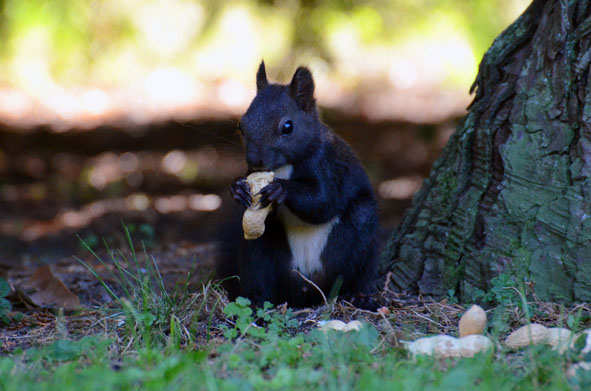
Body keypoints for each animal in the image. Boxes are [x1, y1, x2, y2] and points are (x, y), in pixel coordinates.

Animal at [217, 62, 380, 310]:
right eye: (241, 124)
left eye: (288, 126)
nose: (254, 159)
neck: (284, 167)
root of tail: (306, 286)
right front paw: (237, 189)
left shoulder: (329, 166)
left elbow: (322, 202)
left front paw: (281, 189)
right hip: (261, 251)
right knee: (260, 276)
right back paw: (255, 300)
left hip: (360, 238)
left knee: (358, 271)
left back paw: (360, 295)